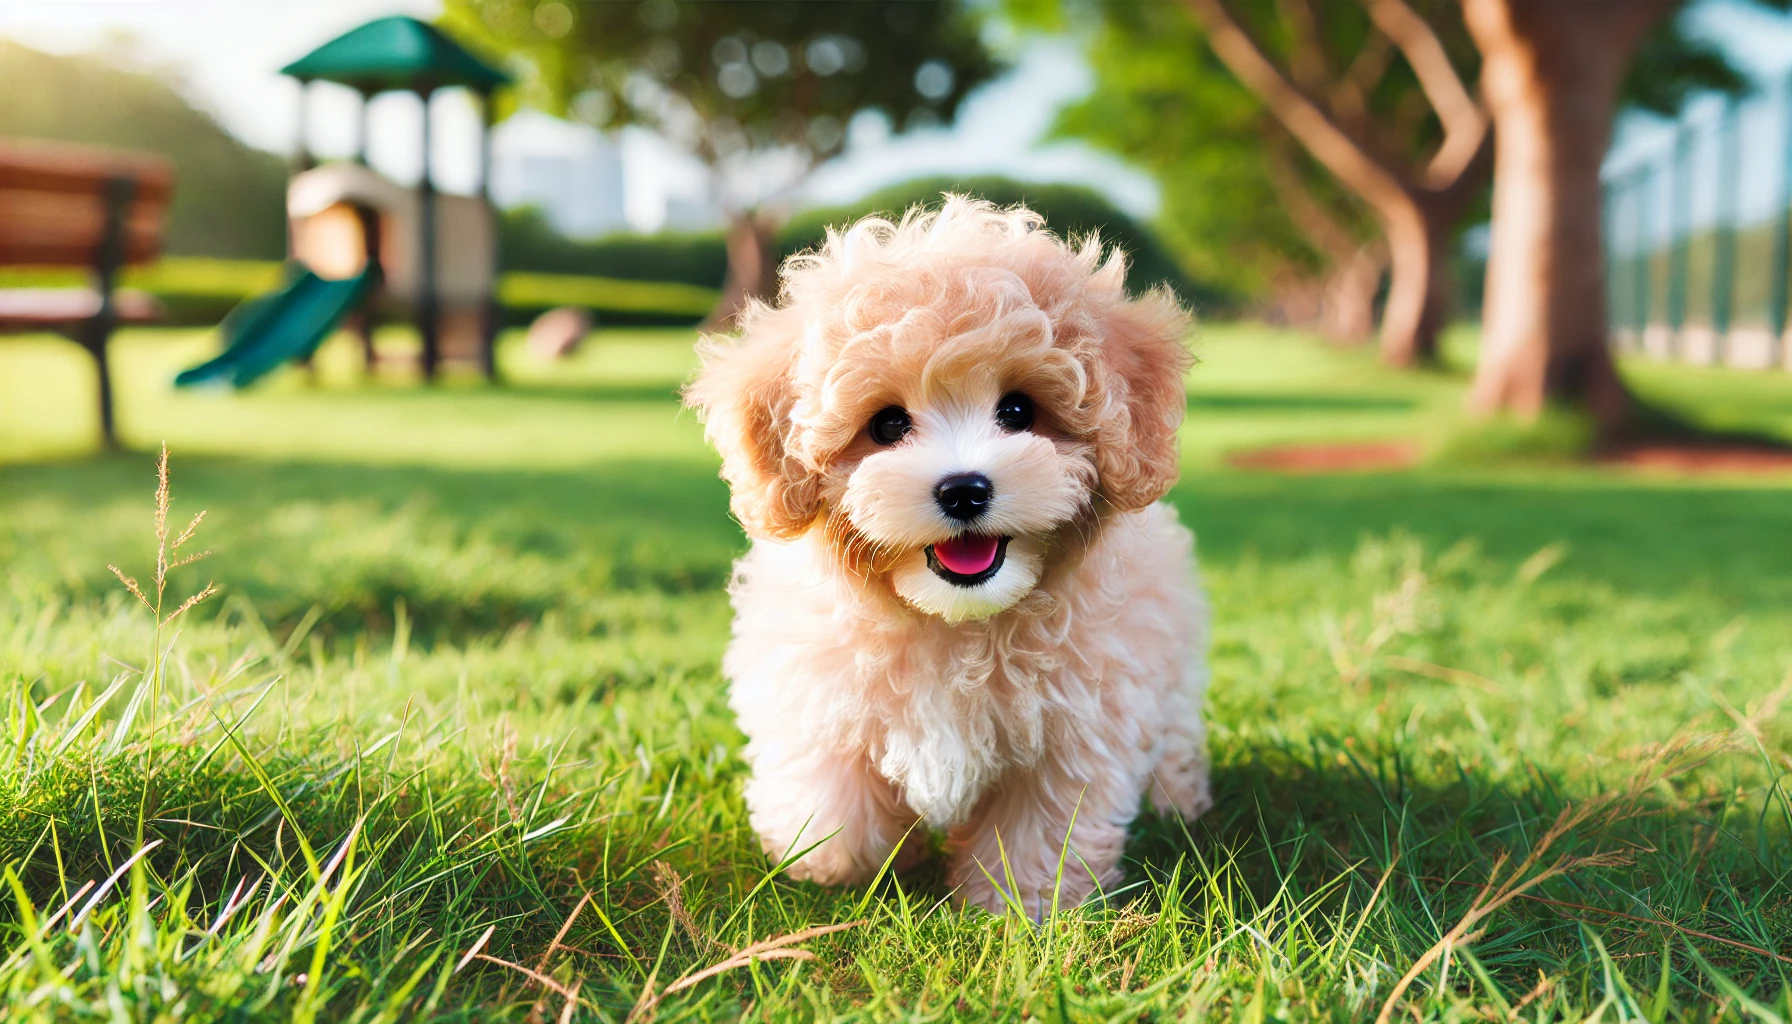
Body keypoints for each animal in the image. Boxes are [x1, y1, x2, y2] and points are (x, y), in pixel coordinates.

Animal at [677, 196, 1211, 918]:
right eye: (886, 425)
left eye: (1018, 410)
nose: (964, 490)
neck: (954, 622)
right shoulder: (817, 690)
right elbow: (833, 795)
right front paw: (829, 871)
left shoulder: (1077, 721)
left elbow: (1040, 823)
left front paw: (1019, 904)